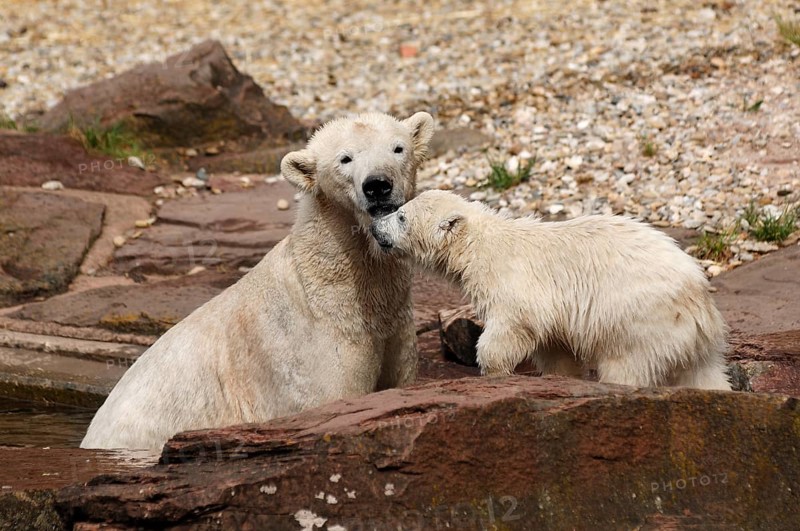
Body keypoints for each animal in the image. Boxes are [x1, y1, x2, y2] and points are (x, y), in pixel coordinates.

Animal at [370, 190, 731, 390]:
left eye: (400, 217)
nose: (375, 227)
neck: (479, 245)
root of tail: (699, 303)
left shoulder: (512, 279)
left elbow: (515, 323)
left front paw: (493, 371)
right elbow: (555, 346)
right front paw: (560, 378)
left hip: (640, 320)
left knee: (627, 364)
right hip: (689, 341)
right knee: (704, 374)